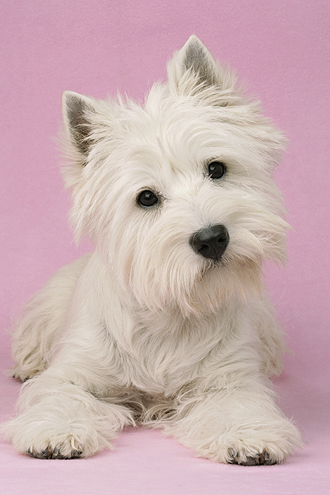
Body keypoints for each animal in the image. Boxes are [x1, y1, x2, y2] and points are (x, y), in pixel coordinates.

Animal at [1, 36, 302, 466]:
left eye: (217, 169)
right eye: (146, 198)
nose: (212, 238)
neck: (171, 312)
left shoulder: (229, 378)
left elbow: (239, 403)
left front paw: (249, 436)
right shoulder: (75, 372)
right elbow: (60, 394)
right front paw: (56, 431)